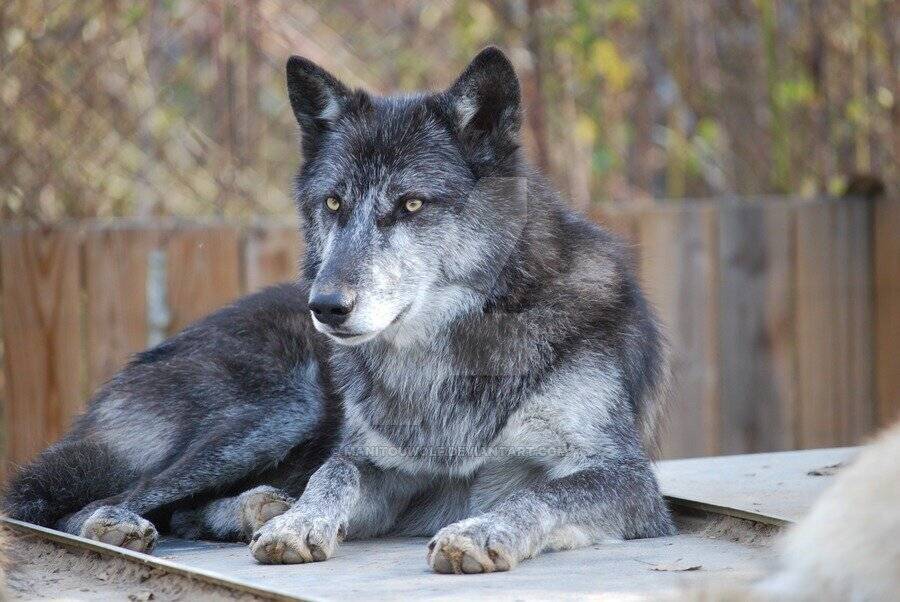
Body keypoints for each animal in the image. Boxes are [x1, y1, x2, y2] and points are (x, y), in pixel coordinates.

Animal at [1, 47, 676, 572]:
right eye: (332, 203)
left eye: (410, 205)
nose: (325, 306)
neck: (449, 356)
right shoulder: (382, 472)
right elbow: (336, 472)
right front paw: (299, 524)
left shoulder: (627, 480)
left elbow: (538, 496)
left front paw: (479, 531)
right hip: (278, 409)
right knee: (78, 505)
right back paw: (143, 520)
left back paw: (253, 507)